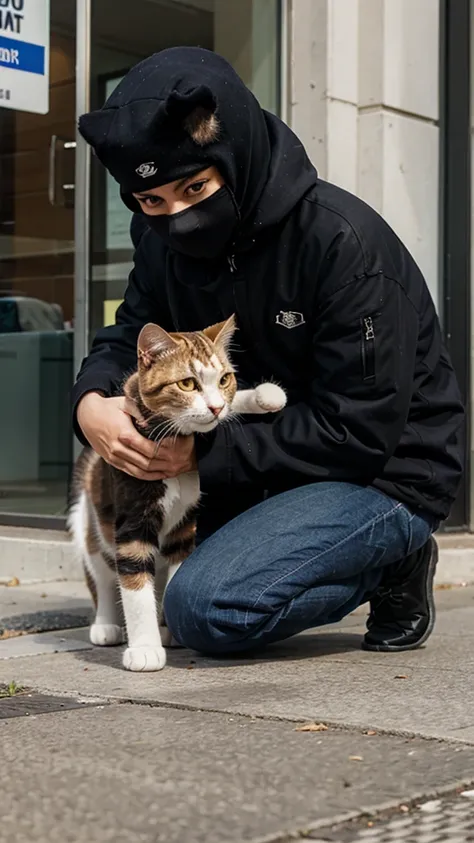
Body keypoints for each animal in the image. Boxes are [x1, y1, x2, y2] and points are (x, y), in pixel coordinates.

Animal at [68, 316, 286, 672]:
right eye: (186, 384)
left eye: (224, 379)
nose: (214, 407)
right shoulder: (134, 520)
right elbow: (135, 586)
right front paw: (146, 648)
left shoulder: (185, 525)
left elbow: (178, 569)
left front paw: (264, 395)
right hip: (89, 519)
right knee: (101, 572)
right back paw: (106, 624)